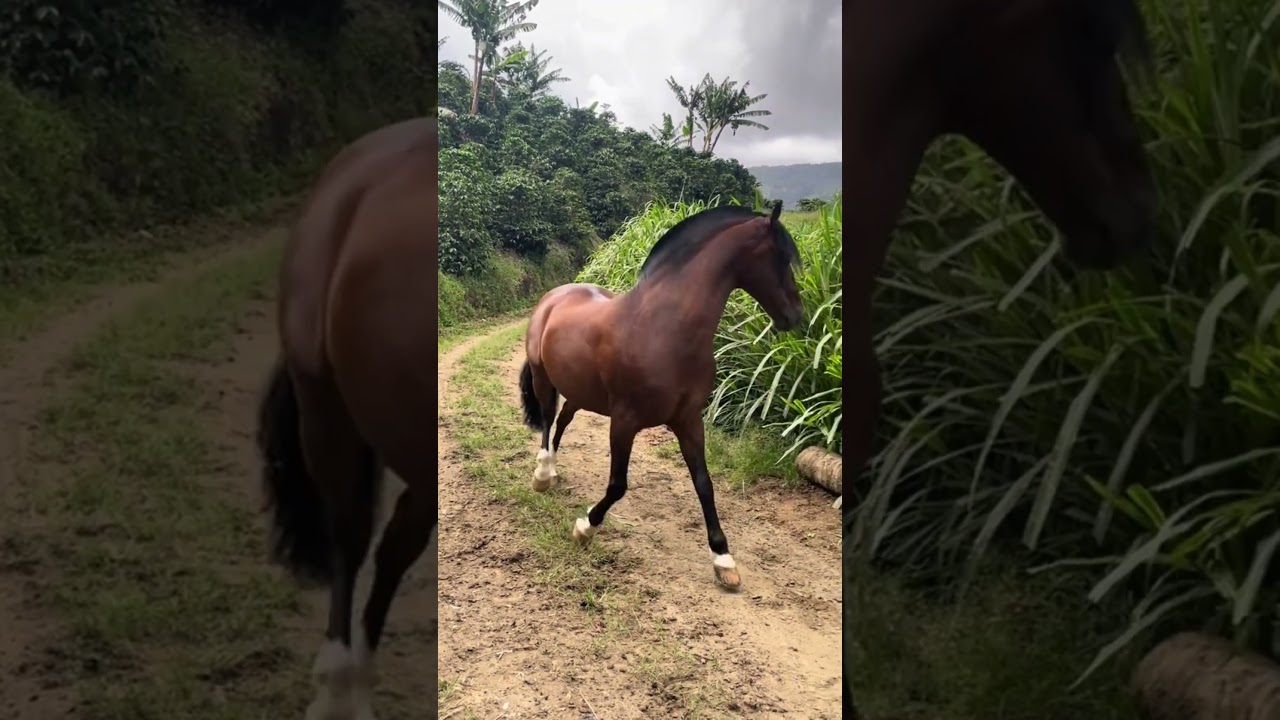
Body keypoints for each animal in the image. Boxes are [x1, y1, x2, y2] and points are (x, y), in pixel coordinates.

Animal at [517, 201, 804, 590]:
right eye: (782, 258)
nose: (796, 315)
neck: (664, 330)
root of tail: (556, 294)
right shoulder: (624, 421)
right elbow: (618, 485)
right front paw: (585, 526)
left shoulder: (688, 420)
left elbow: (704, 484)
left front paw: (723, 558)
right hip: (544, 377)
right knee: (548, 419)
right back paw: (543, 473)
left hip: (580, 391)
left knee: (562, 419)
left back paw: (553, 469)